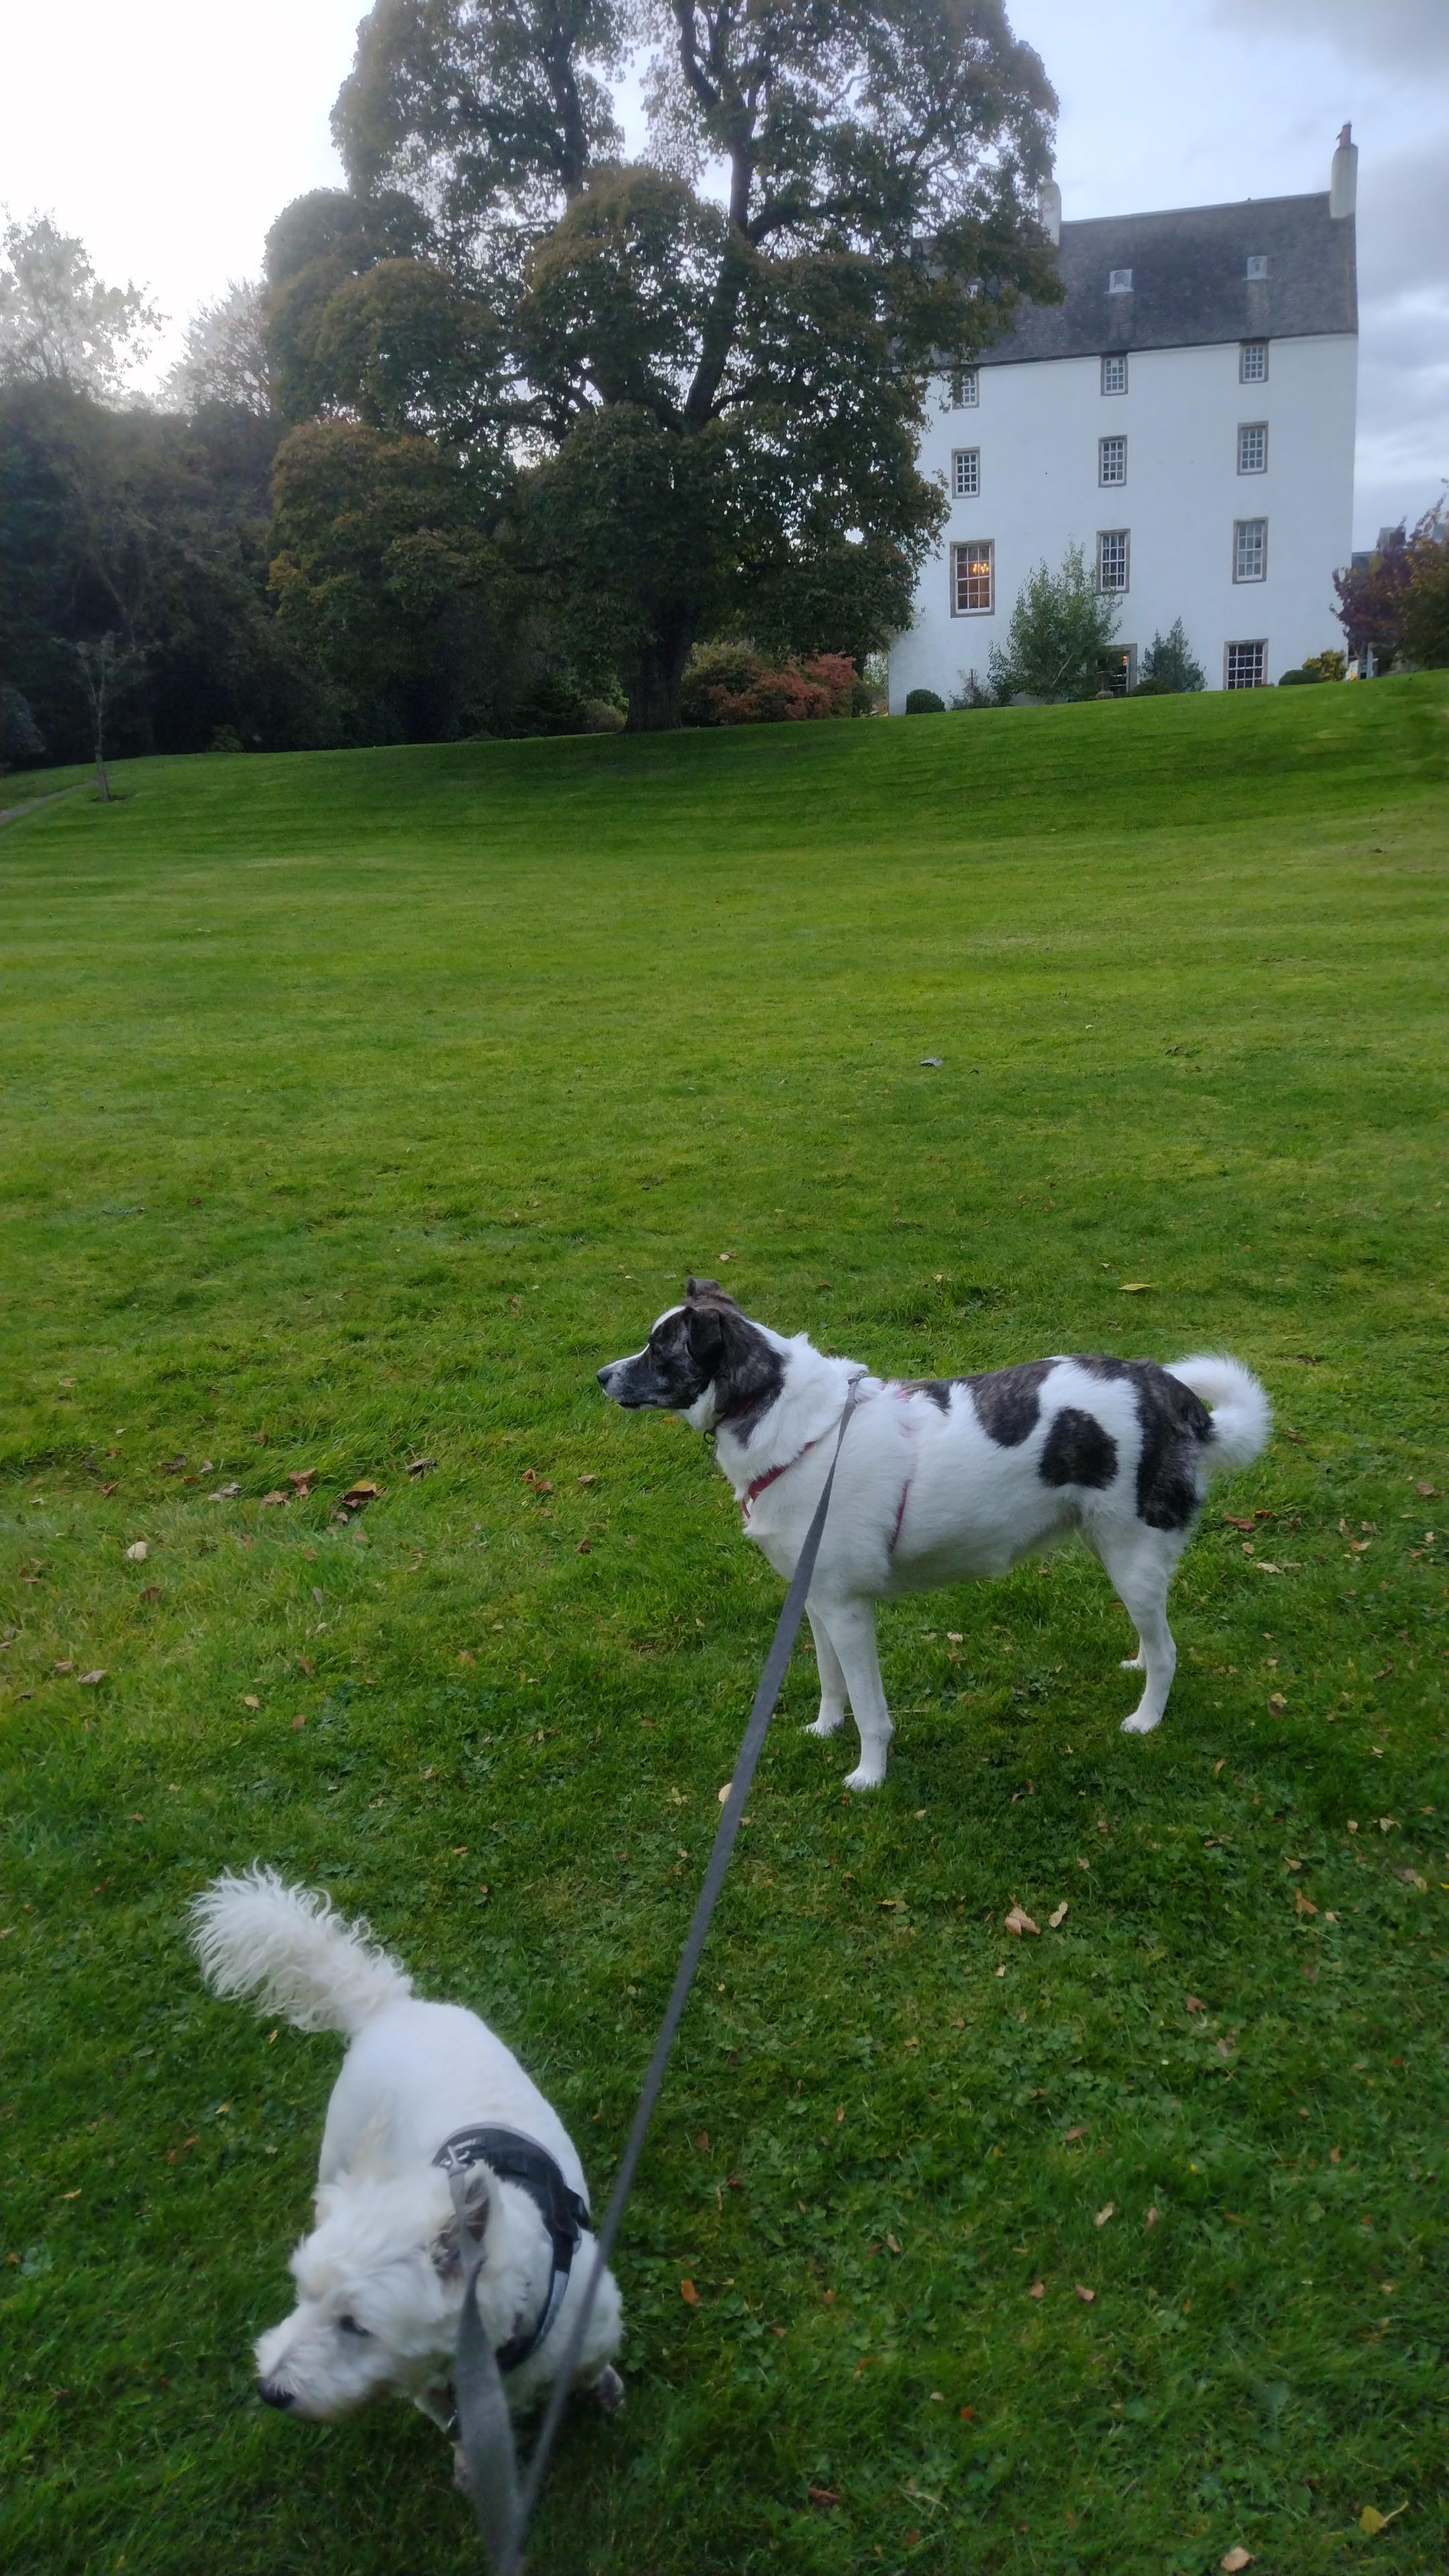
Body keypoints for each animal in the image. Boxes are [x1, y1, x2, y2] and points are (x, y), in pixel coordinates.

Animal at [192, 1875, 621, 2431]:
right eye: (303, 2293)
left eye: (356, 2325)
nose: (270, 2390)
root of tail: (386, 2005)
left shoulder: (594, 2328)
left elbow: (590, 2367)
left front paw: (604, 2388)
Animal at [598, 1283, 1263, 1792]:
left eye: (660, 1350)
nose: (601, 1375)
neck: (778, 1410)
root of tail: (1171, 1394)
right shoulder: (816, 1603)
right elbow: (831, 1684)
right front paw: (825, 1730)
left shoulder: (848, 1611)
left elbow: (870, 1708)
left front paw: (869, 1775)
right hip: (1114, 1549)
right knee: (1152, 1639)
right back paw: (1138, 1662)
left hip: (1134, 1558)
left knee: (1169, 1650)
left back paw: (1146, 1720)